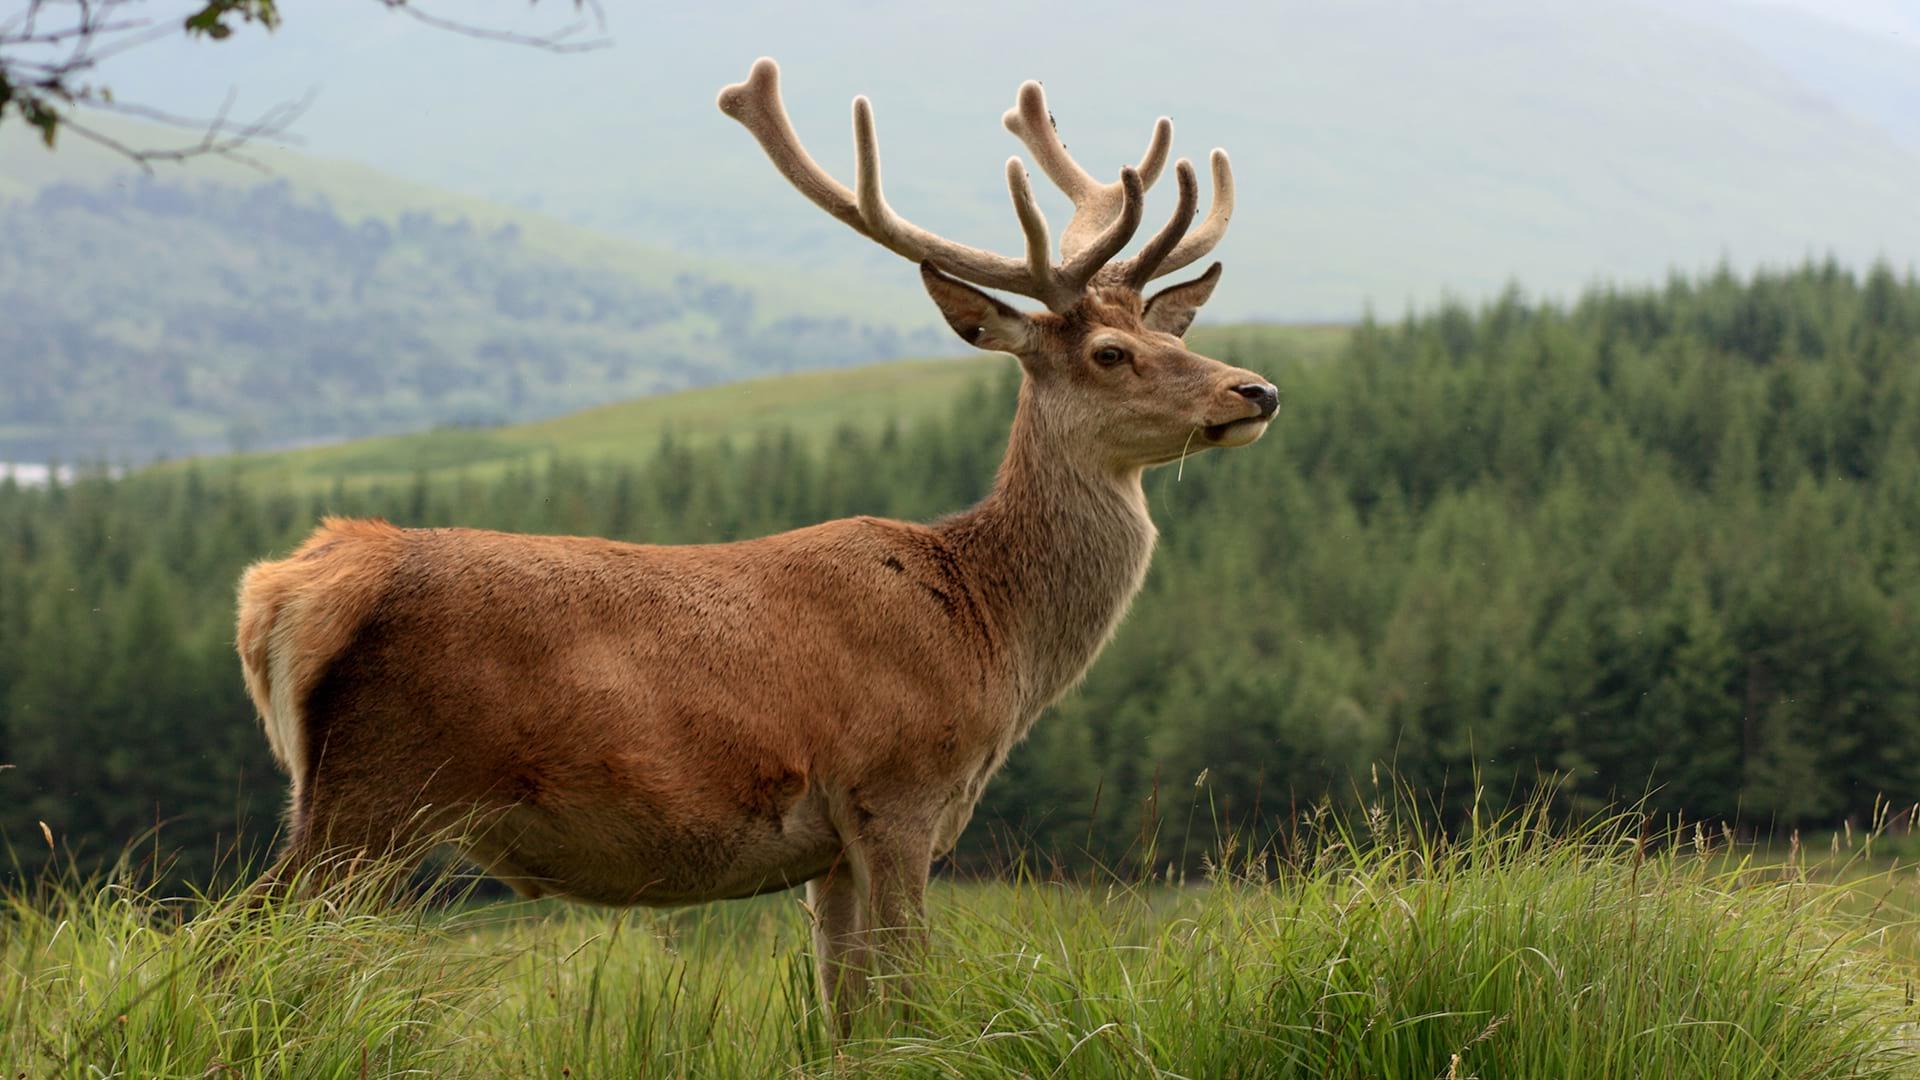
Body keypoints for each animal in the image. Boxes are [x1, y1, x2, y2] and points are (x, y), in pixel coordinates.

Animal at [234, 57, 1274, 1026]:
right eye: (1111, 354)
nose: (1256, 390)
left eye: (1176, 333)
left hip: (332, 795)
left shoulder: (832, 848)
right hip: (376, 785)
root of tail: (282, 593)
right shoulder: (896, 787)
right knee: (245, 949)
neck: (988, 633)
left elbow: (848, 1015)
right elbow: (908, 995)